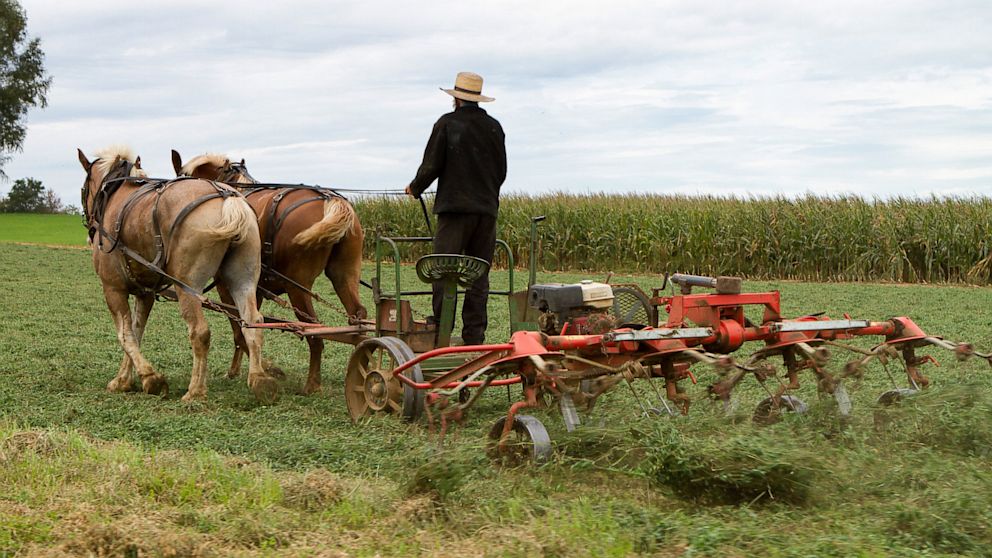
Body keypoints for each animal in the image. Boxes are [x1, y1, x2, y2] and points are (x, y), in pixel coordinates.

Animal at [76, 147, 280, 404]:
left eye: (84, 187)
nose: (89, 230)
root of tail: (227, 198)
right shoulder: (145, 293)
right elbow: (136, 331)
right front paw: (125, 379)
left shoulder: (112, 288)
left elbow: (125, 335)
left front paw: (149, 377)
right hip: (243, 280)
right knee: (252, 323)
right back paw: (259, 380)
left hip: (188, 286)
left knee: (200, 332)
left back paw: (195, 391)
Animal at [170, 150, 368, 394]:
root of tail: (329, 199)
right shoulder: (255, 289)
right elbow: (251, 324)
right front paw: (254, 368)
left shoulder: (226, 285)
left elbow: (240, 328)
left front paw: (257, 370)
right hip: (345, 275)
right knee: (357, 319)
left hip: (297, 288)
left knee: (314, 332)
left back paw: (312, 384)